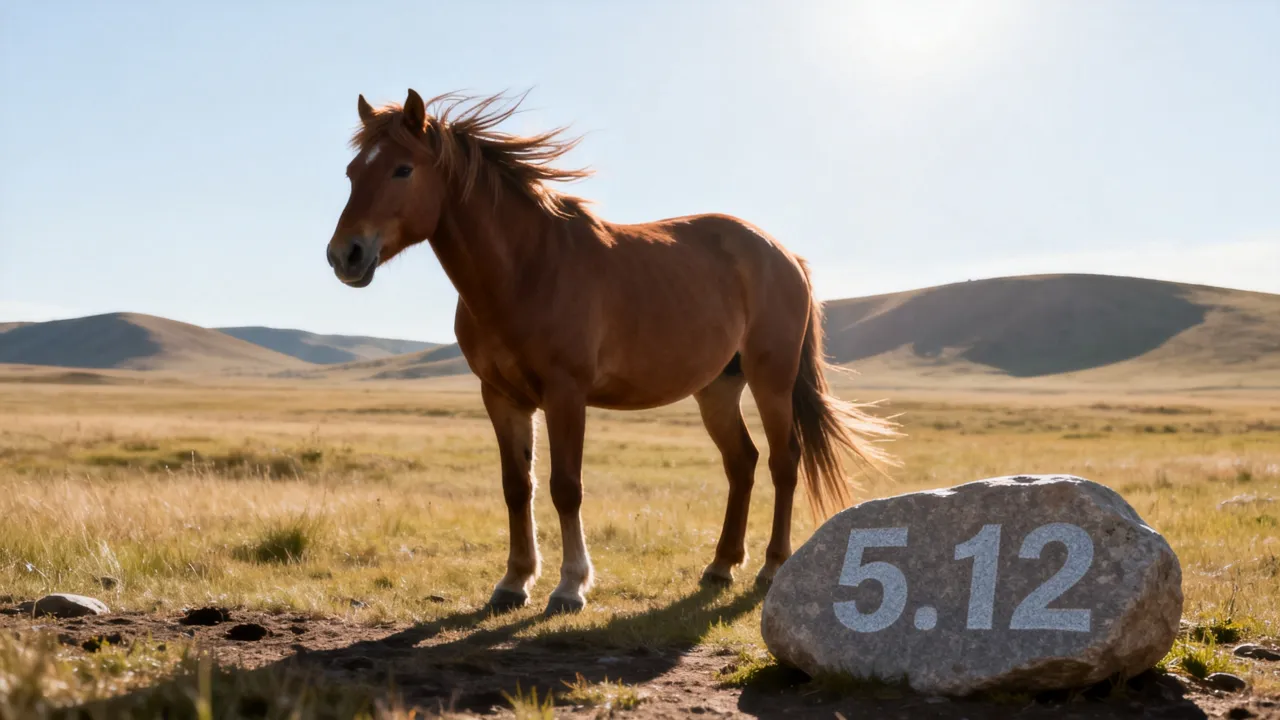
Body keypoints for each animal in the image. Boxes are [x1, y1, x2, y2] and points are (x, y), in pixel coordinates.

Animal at [324, 89, 900, 616]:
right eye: (352, 172)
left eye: (402, 169)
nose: (343, 255)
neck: (526, 270)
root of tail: (783, 254)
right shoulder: (502, 397)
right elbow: (517, 487)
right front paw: (514, 581)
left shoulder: (565, 394)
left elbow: (565, 487)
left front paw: (570, 586)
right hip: (717, 389)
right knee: (742, 462)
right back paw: (719, 566)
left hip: (771, 381)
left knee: (784, 462)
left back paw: (771, 567)